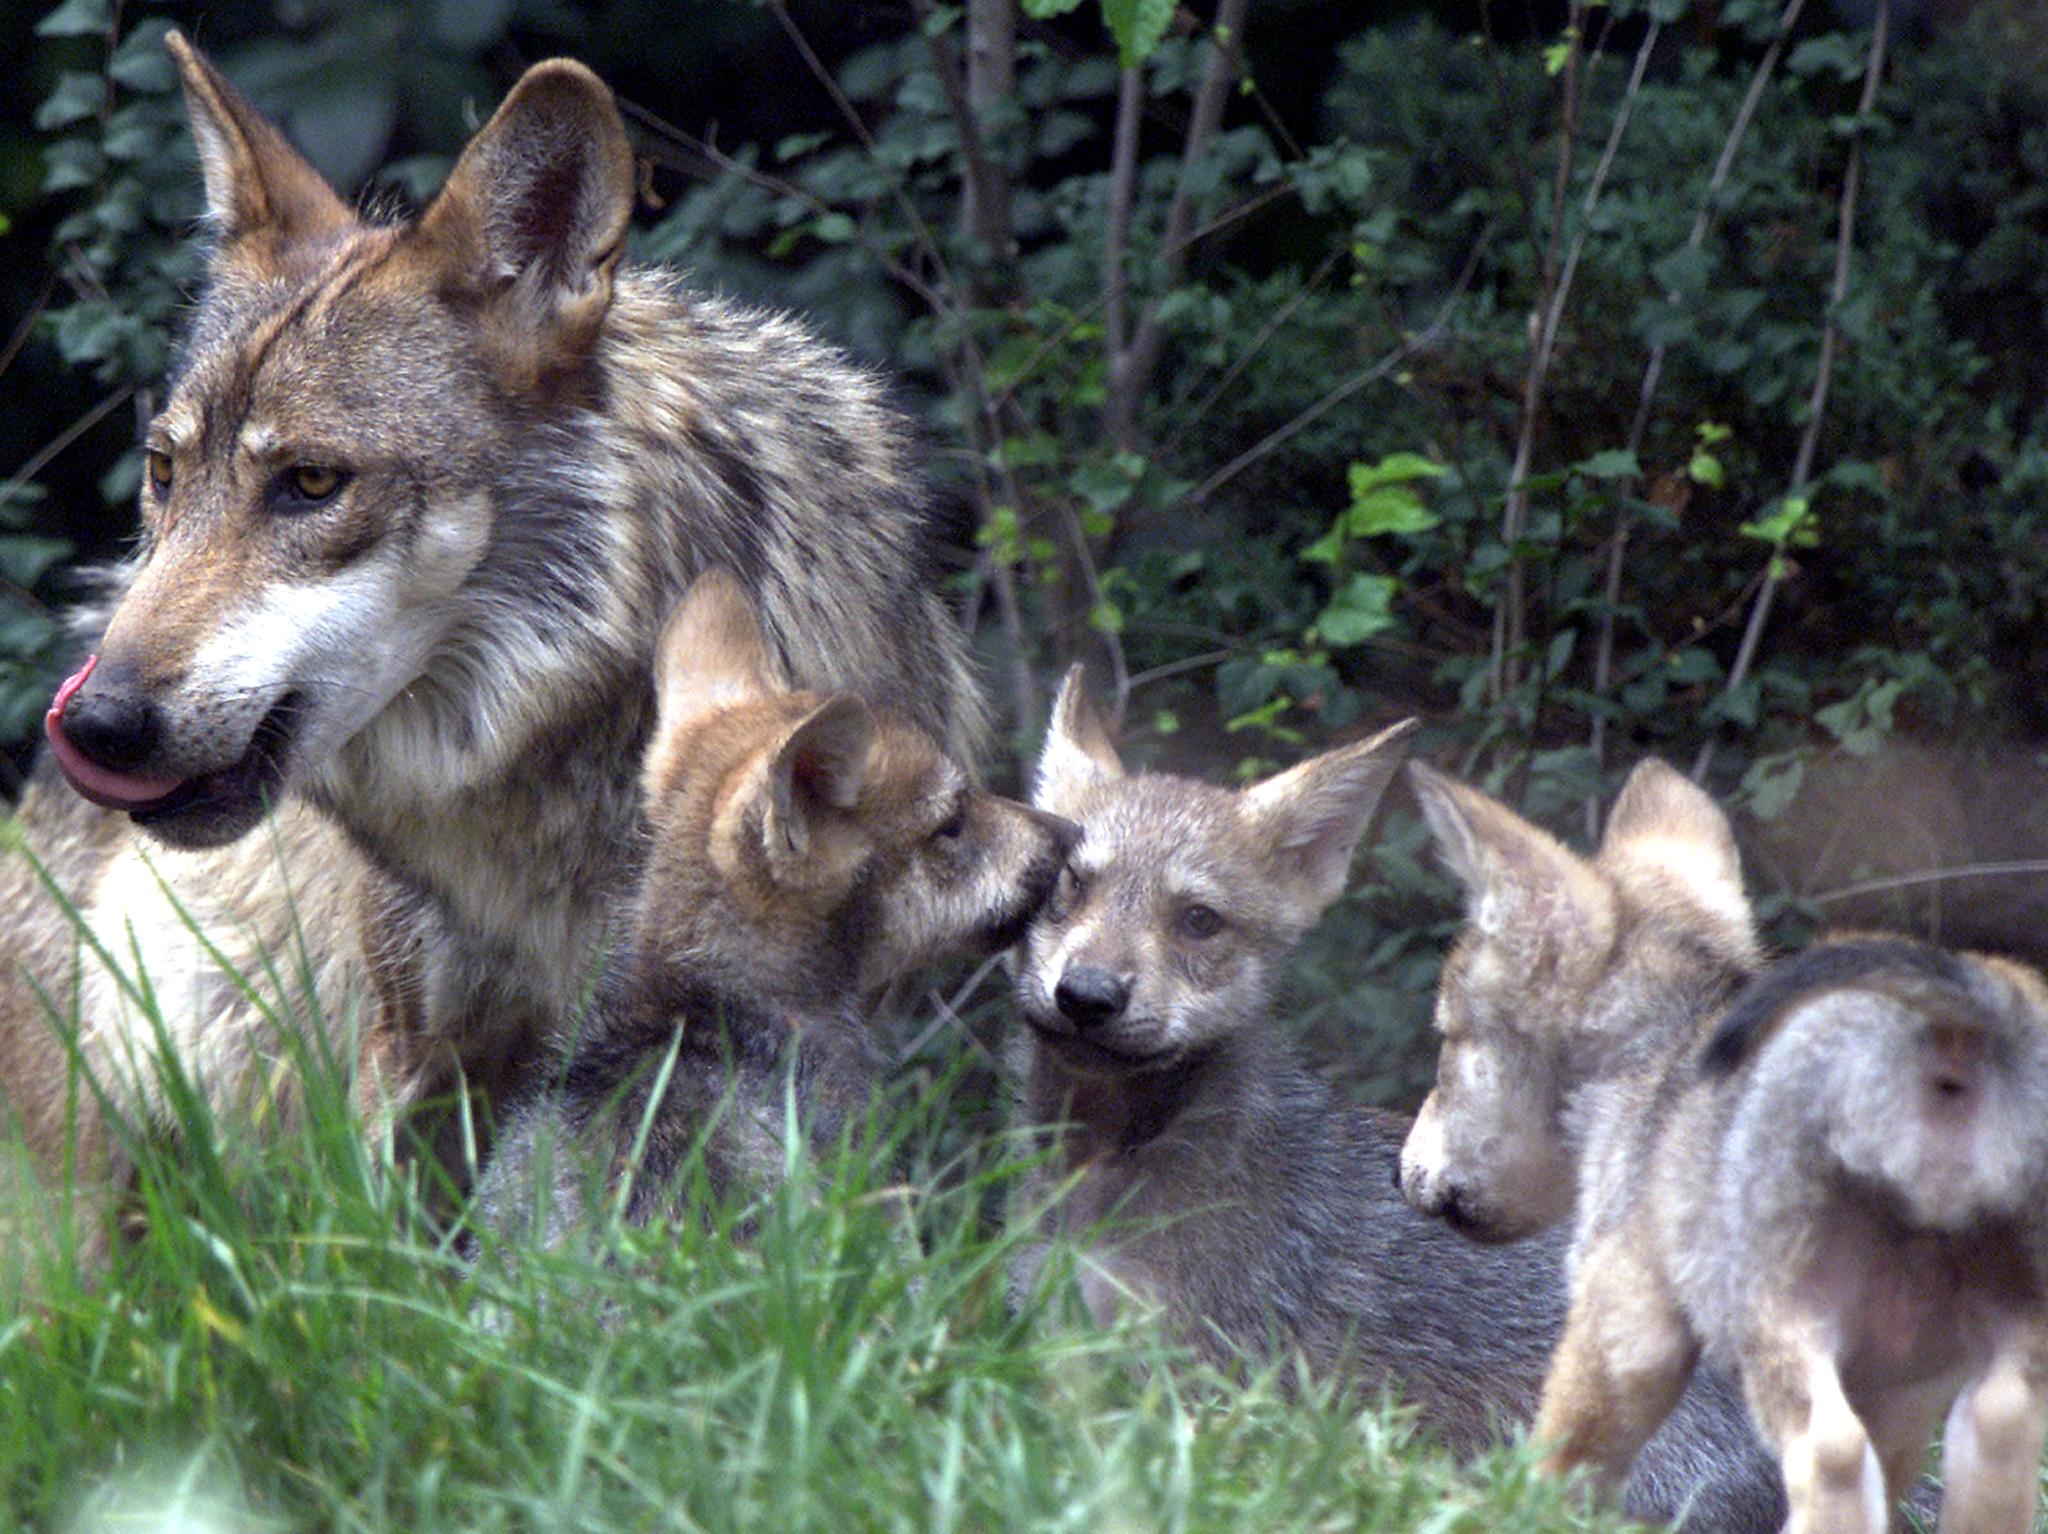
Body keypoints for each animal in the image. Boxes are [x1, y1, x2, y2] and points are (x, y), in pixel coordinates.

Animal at [1399, 761, 2009, 1531]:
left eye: (1445, 1041)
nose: (1402, 1169)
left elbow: (1556, 1462)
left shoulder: (1623, 1321)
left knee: (1830, 1456)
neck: (1648, 1058)